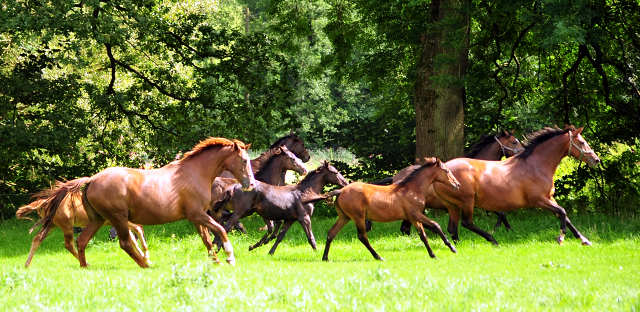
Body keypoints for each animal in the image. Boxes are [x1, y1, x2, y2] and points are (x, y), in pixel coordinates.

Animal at [30, 139, 255, 268]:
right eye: (244, 160)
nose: (251, 184)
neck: (194, 173)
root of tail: (92, 179)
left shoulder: (196, 217)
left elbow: (207, 240)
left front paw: (216, 260)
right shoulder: (197, 215)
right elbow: (221, 230)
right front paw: (229, 257)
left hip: (97, 219)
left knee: (82, 241)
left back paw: (86, 268)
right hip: (118, 219)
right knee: (125, 244)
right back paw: (145, 266)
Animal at [212, 162, 348, 255]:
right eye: (335, 172)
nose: (345, 183)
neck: (304, 193)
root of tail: (234, 186)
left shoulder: (290, 219)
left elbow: (280, 236)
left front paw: (269, 252)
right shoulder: (304, 218)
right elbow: (310, 237)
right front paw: (317, 252)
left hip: (244, 212)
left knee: (223, 222)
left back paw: (217, 245)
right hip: (241, 212)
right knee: (227, 226)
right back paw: (219, 248)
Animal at [304, 158, 460, 260]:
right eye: (446, 171)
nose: (457, 184)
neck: (412, 189)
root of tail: (340, 191)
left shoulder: (413, 218)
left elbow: (423, 235)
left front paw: (433, 254)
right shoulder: (415, 214)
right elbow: (435, 225)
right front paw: (452, 248)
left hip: (344, 217)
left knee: (331, 233)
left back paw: (325, 257)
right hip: (358, 217)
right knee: (362, 237)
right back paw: (378, 257)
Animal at [370, 129, 524, 234]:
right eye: (514, 141)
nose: (523, 152)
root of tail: (395, 177)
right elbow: (501, 213)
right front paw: (505, 230)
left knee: (406, 227)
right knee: (406, 227)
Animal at [436, 125, 600, 245]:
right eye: (582, 142)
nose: (596, 160)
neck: (536, 165)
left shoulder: (549, 197)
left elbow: (565, 215)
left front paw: (584, 239)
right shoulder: (538, 200)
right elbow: (563, 212)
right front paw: (560, 237)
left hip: (453, 205)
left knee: (453, 228)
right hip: (466, 201)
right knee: (466, 223)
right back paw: (493, 240)